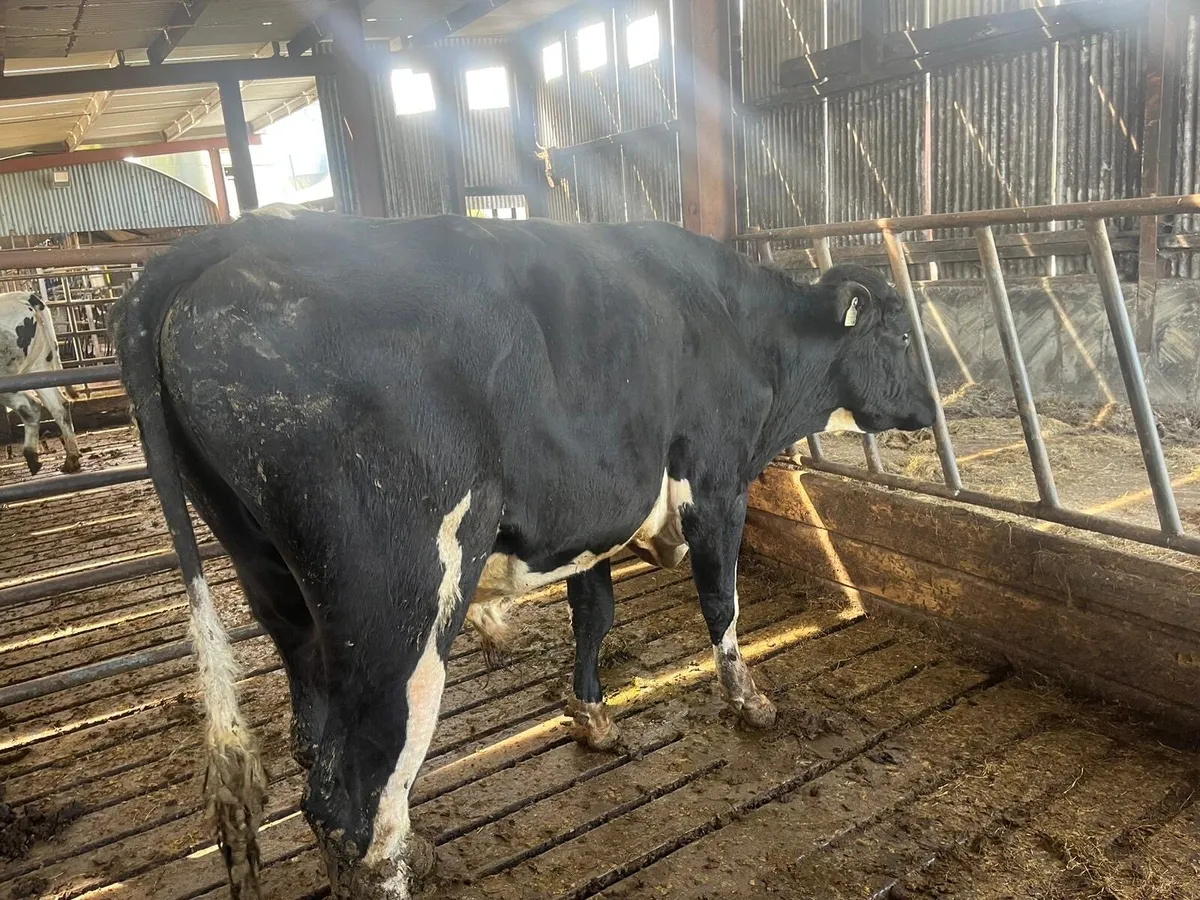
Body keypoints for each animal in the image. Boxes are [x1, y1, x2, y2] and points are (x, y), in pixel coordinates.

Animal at [112, 209, 936, 900]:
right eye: (900, 336)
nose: (938, 401)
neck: (748, 335)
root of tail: (227, 240)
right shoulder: (716, 482)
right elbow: (721, 602)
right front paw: (750, 702)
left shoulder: (593, 514)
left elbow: (594, 613)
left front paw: (593, 717)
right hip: (401, 612)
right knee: (357, 799)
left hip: (283, 595)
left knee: (313, 749)